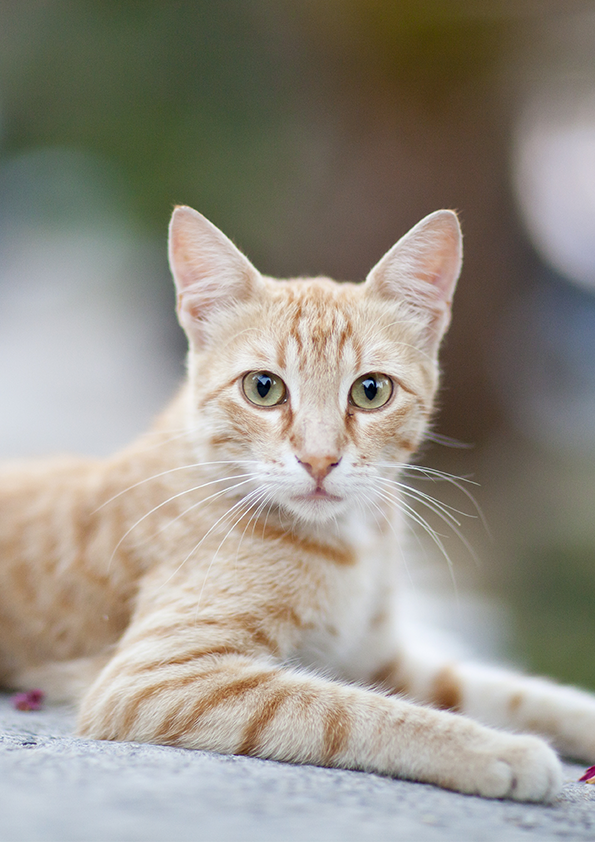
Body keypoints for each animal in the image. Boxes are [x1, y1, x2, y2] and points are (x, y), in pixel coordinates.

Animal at [1, 203, 595, 800]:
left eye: (371, 390)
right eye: (263, 388)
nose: (319, 459)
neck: (352, 544)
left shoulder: (378, 658)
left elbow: (510, 690)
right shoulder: (155, 678)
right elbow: (351, 711)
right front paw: (495, 749)